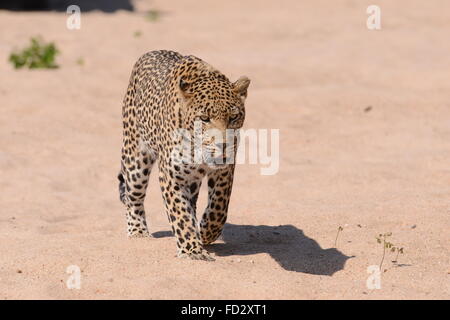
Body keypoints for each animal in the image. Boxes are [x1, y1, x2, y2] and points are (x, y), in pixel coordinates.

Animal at [118, 49, 251, 260]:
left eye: (233, 117)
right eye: (204, 118)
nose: (222, 145)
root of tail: (151, 52)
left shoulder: (225, 170)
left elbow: (219, 207)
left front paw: (206, 232)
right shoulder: (171, 175)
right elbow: (179, 213)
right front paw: (192, 250)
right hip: (135, 159)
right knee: (133, 197)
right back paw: (138, 232)